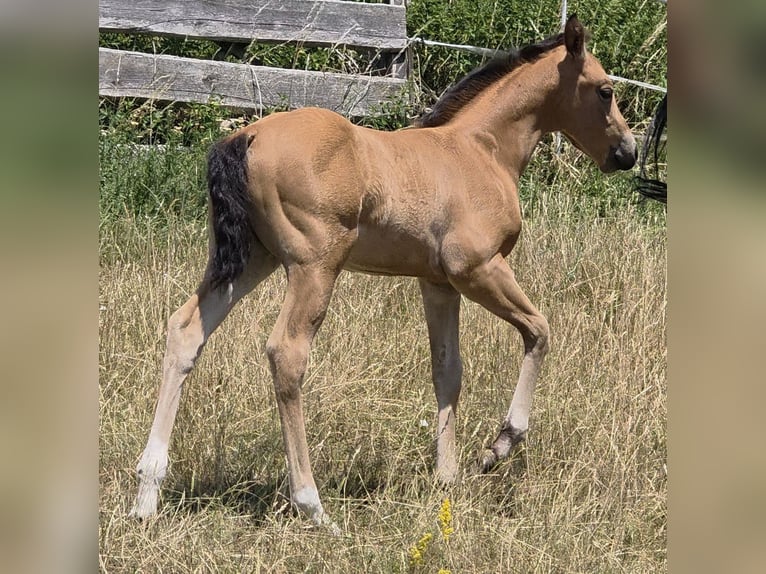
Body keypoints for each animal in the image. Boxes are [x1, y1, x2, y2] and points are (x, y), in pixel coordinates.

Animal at [130, 15, 636, 530]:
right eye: (605, 91)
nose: (627, 152)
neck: (481, 151)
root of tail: (244, 138)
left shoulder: (438, 283)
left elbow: (447, 369)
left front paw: (447, 478)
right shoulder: (476, 269)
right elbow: (539, 331)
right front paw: (498, 446)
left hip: (249, 259)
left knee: (186, 330)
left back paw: (147, 494)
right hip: (315, 266)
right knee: (286, 353)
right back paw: (313, 506)